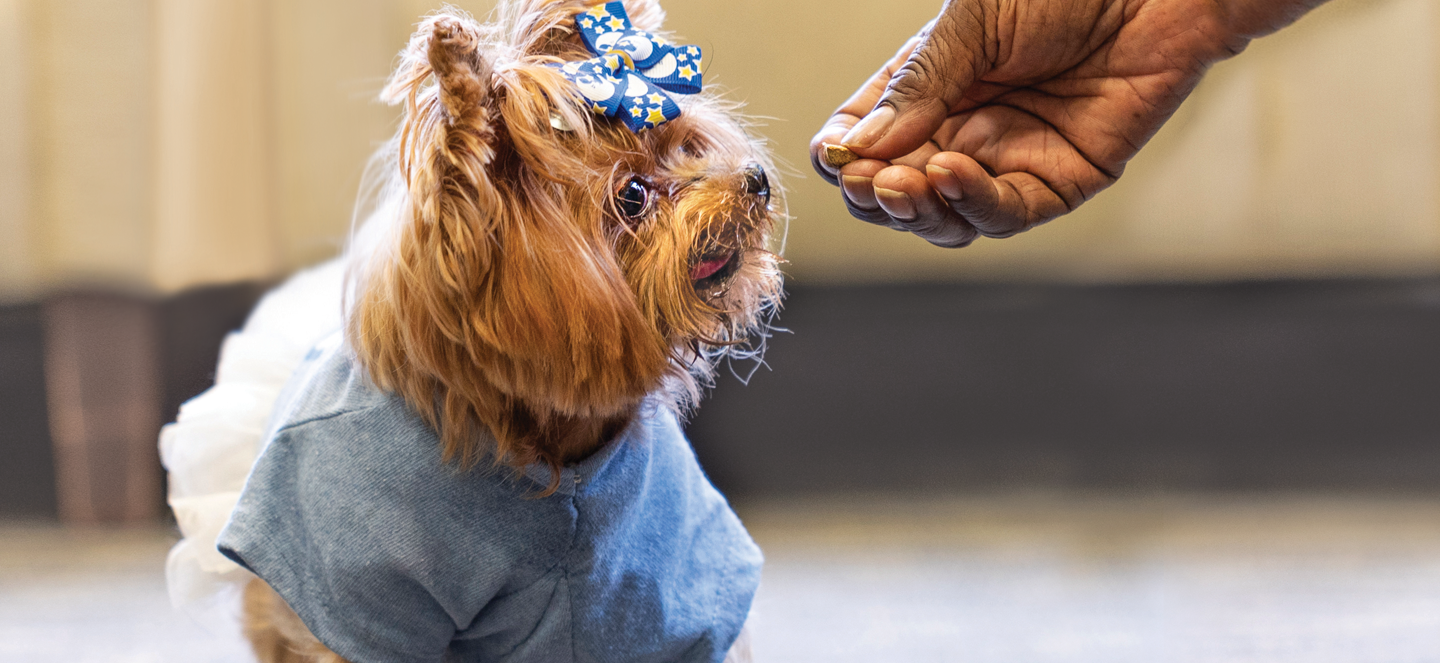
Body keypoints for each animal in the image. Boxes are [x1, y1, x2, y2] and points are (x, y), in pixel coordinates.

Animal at [184, 1, 783, 663]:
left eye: (688, 146)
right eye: (632, 194)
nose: (754, 179)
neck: (539, 431)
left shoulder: (647, 587)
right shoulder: (365, 592)